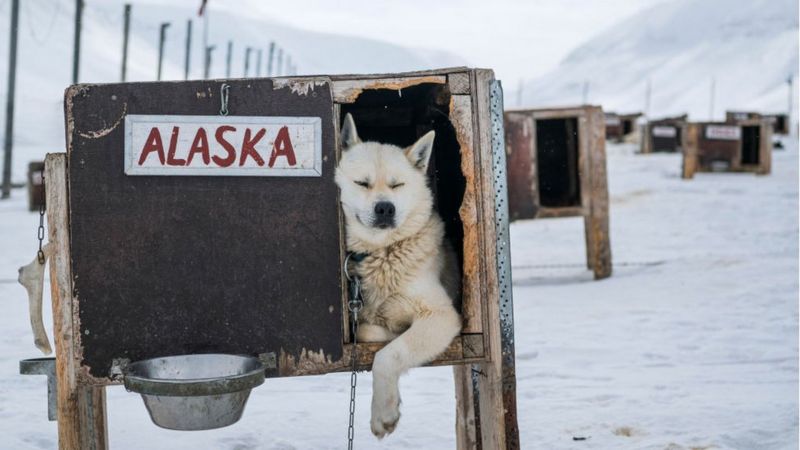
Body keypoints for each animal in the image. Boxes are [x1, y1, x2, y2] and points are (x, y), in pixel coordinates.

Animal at [334, 113, 462, 440]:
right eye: (362, 183)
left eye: (398, 184)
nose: (385, 208)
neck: (382, 253)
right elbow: (371, 332)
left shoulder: (441, 315)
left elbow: (388, 355)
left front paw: (383, 413)